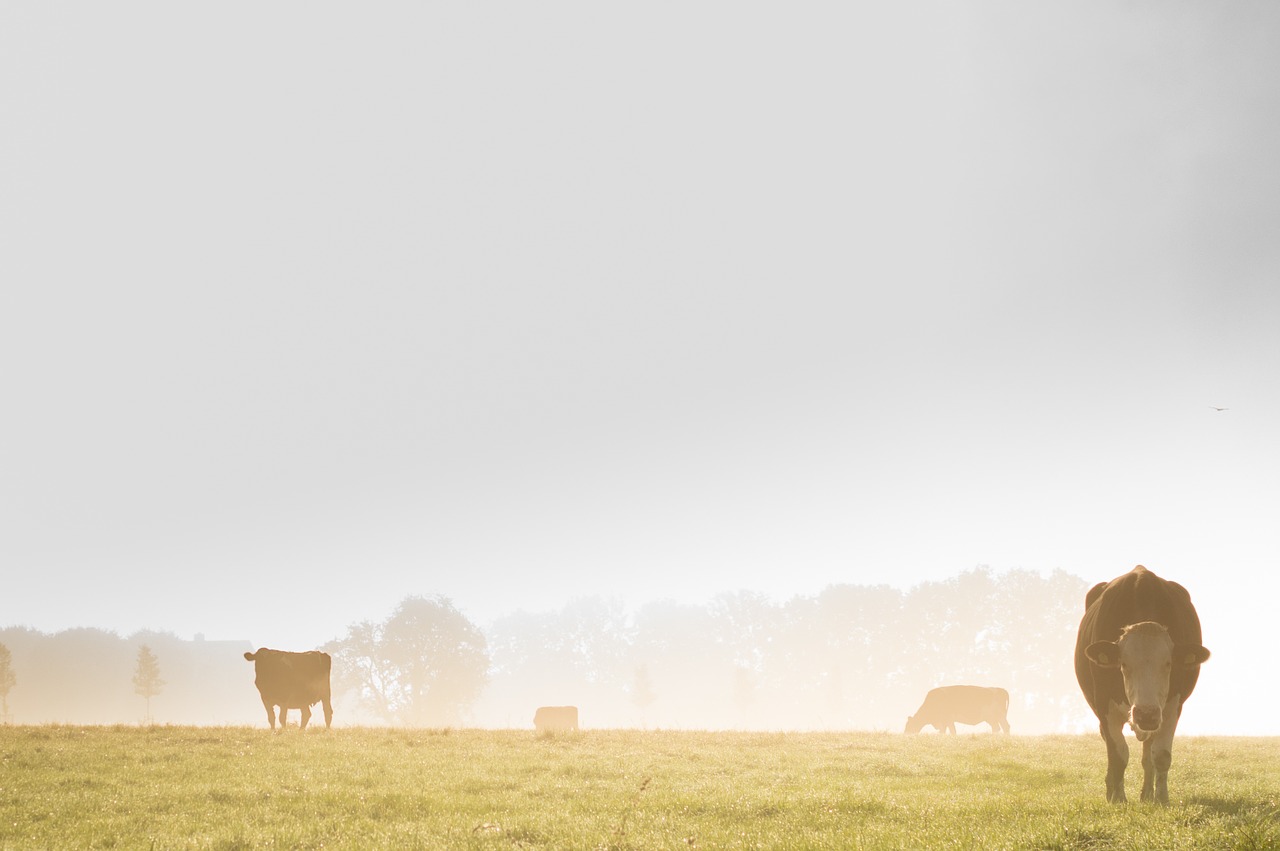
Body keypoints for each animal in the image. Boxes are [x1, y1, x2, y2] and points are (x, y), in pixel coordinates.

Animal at [1070, 568, 1208, 798]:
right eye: (1123, 664)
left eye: (1168, 663)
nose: (1146, 714)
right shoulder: (1104, 704)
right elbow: (1118, 755)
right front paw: (1118, 799)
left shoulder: (1172, 706)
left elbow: (1160, 755)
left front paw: (1161, 799)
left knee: (1148, 754)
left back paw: (1147, 795)